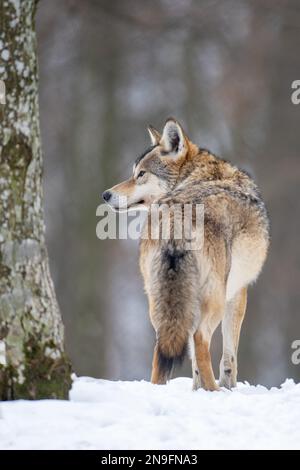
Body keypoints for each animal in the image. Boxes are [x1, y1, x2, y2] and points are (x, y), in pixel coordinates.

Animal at [103, 119, 270, 392]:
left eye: (141, 174)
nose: (105, 195)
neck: (197, 176)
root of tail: (176, 218)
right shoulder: (239, 292)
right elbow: (229, 355)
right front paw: (227, 387)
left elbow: (195, 364)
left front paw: (196, 390)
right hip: (214, 299)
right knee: (200, 338)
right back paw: (214, 391)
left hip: (161, 302)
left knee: (164, 346)